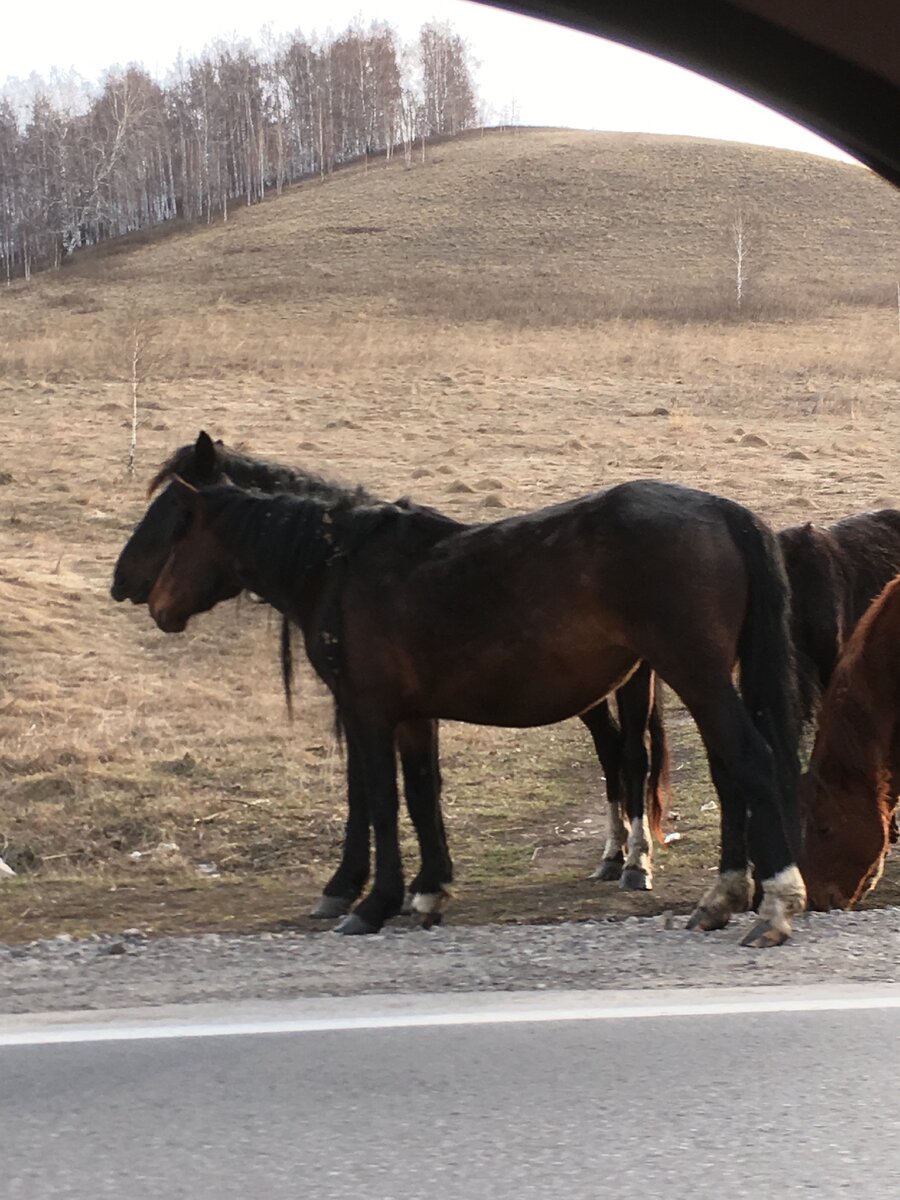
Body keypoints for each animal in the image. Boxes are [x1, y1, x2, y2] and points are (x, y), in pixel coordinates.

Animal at [144, 472, 806, 940]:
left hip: (694, 675)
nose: (147, 599)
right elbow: (422, 794)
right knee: (726, 771)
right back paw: (722, 895)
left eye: (170, 529)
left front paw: (373, 902)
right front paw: (428, 890)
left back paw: (773, 900)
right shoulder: (413, 717)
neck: (343, 567)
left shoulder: (368, 712)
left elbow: (381, 801)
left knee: (748, 760)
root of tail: (721, 510)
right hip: (700, 681)